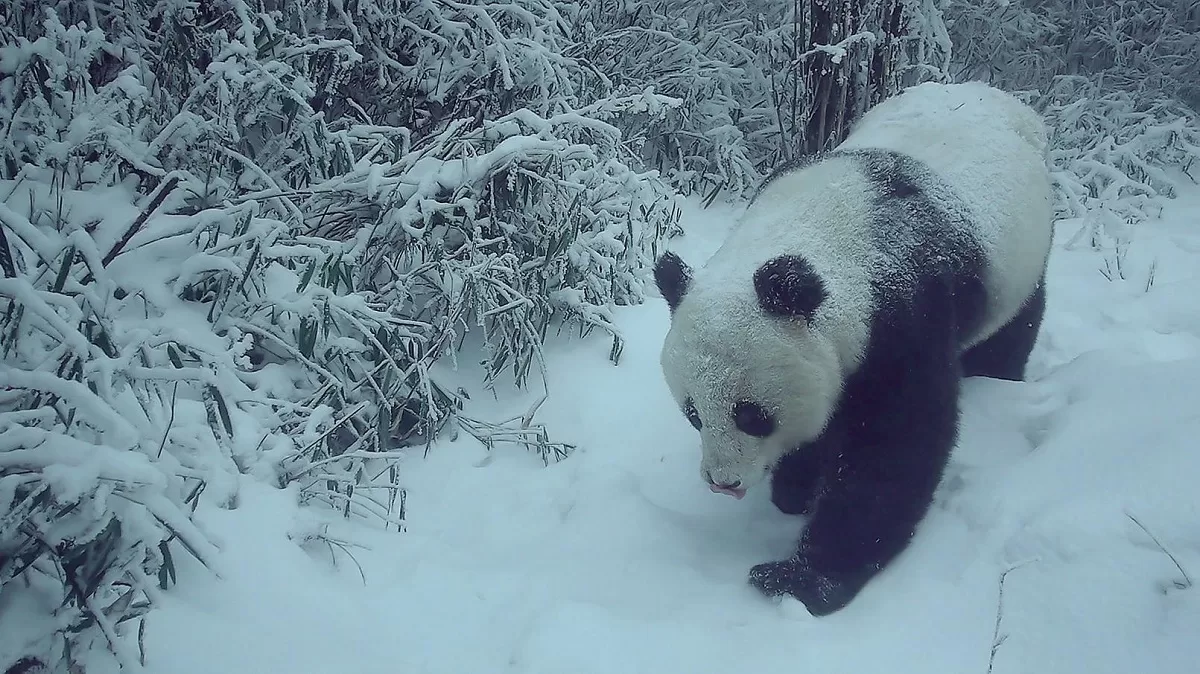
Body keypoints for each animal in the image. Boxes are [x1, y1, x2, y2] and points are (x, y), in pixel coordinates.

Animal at [652, 81, 1055, 617]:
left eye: (752, 414)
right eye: (694, 413)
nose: (724, 481)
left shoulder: (903, 313)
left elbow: (894, 446)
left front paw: (800, 579)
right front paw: (794, 488)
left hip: (1021, 256)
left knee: (1014, 326)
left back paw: (998, 376)